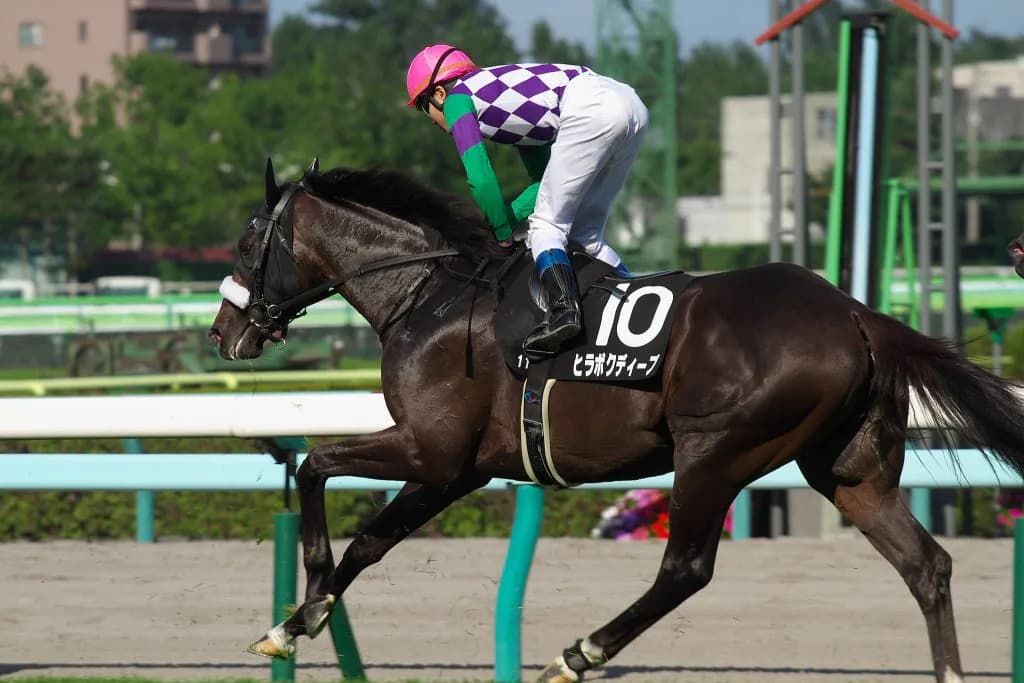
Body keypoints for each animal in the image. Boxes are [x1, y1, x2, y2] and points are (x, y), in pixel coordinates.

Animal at [210, 158, 1024, 683]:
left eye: (248, 242)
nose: (223, 332)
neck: (429, 294)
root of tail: (855, 313)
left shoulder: (430, 449)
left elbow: (315, 464)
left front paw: (305, 601)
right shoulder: (457, 469)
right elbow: (372, 542)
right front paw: (296, 622)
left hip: (715, 451)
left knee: (685, 570)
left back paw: (577, 655)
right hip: (848, 468)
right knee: (927, 565)